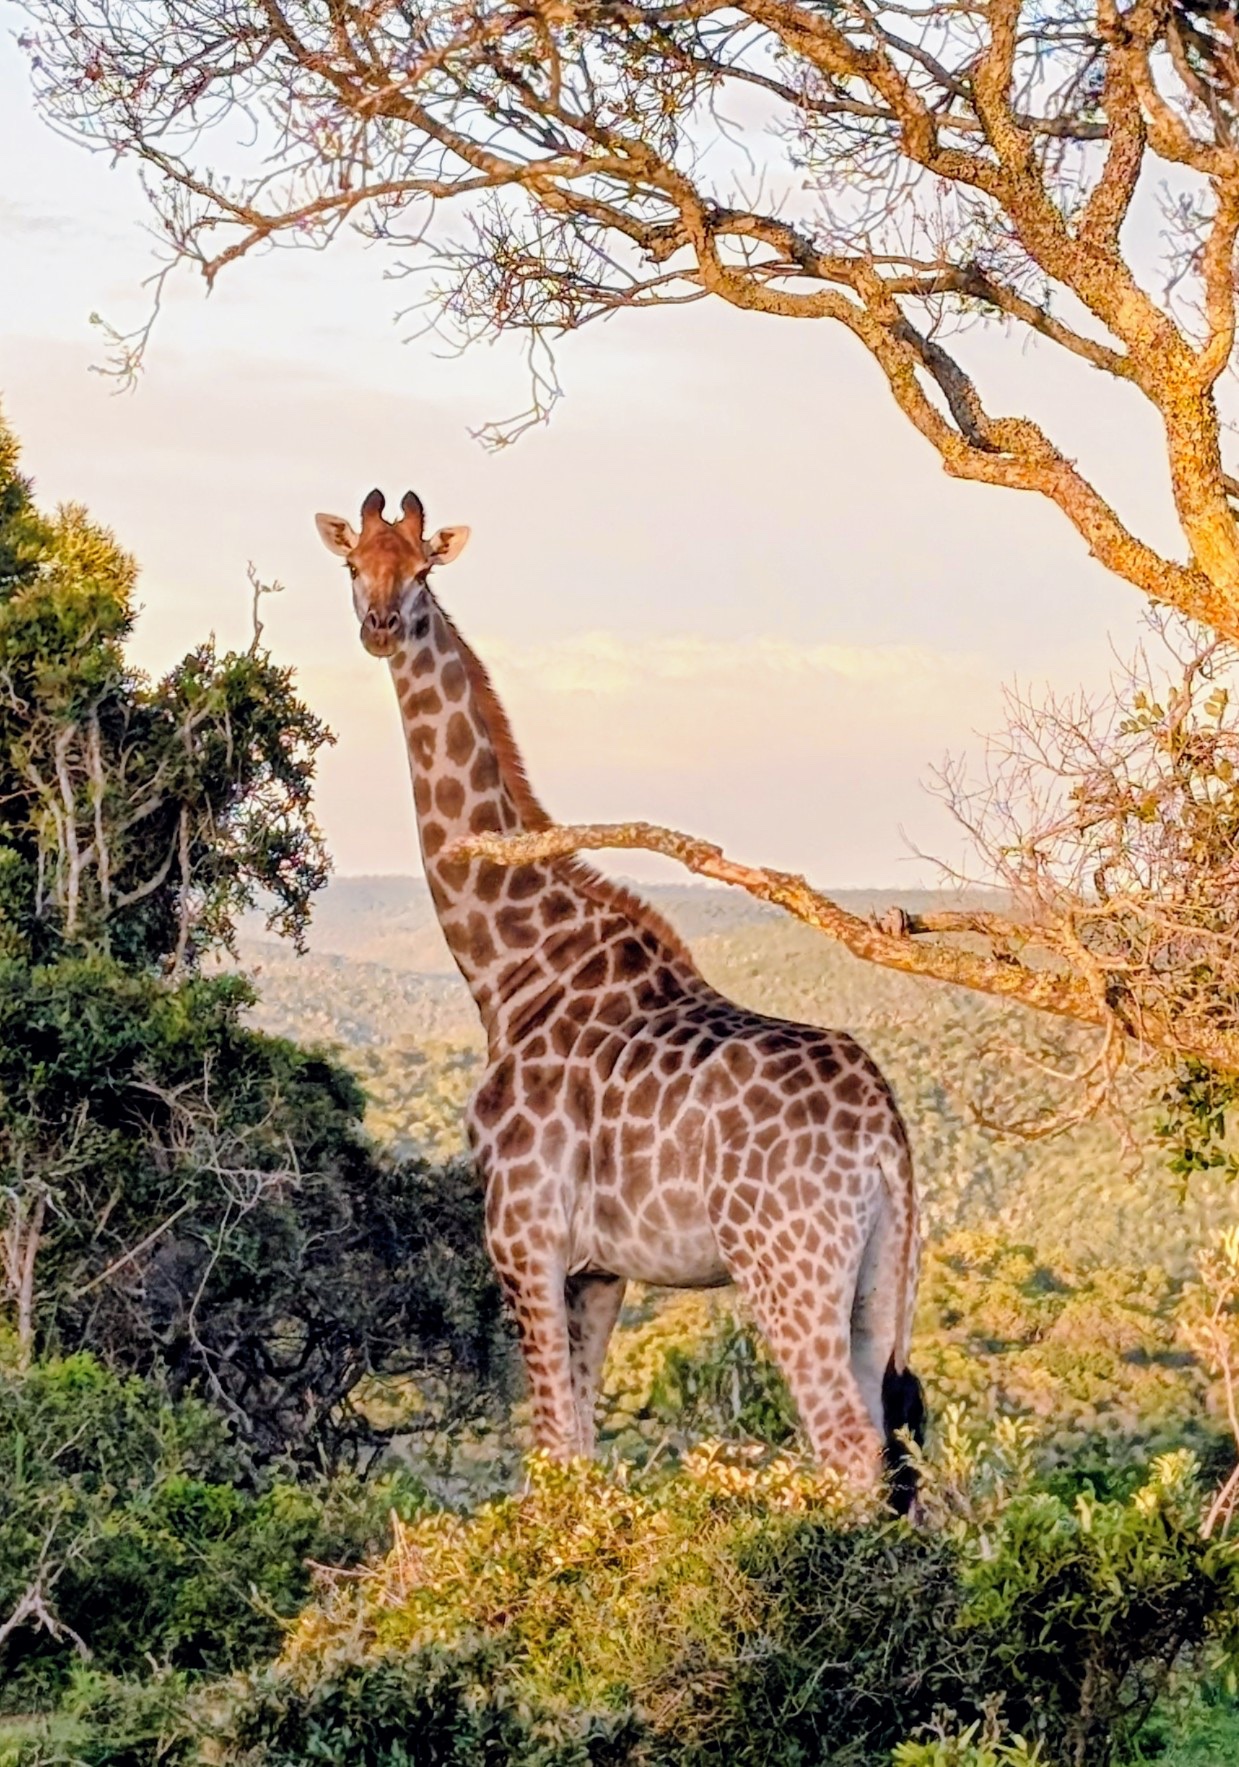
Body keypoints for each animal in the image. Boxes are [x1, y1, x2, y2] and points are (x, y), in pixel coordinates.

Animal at [315, 487, 926, 1510]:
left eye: (424, 571)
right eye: (354, 564)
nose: (379, 625)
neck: (508, 971)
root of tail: (884, 1130)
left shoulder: (523, 1235)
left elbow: (550, 1450)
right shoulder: (599, 1270)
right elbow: (581, 1447)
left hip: (785, 1263)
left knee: (846, 1447)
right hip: (881, 1279)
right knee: (893, 1455)